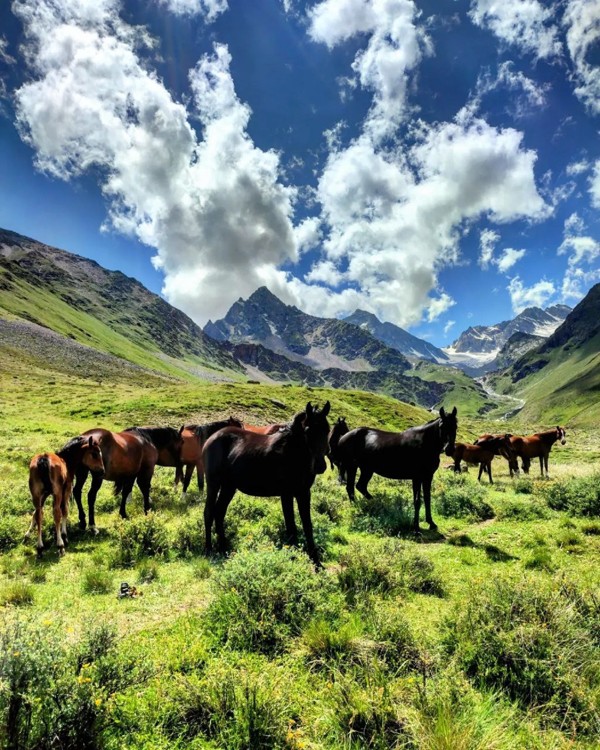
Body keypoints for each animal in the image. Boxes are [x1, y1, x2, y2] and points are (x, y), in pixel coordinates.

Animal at [204, 402, 330, 568]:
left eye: (328, 429)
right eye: (308, 430)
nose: (320, 466)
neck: (292, 452)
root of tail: (211, 438)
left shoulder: (303, 493)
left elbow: (307, 525)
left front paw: (317, 563)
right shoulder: (287, 494)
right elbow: (291, 526)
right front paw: (293, 558)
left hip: (228, 487)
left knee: (219, 513)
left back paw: (224, 549)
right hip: (213, 484)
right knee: (208, 513)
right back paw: (209, 550)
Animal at [336, 408, 458, 536]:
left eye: (455, 426)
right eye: (442, 426)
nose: (449, 449)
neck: (424, 443)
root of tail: (342, 437)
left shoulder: (427, 477)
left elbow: (427, 499)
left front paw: (431, 523)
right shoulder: (417, 478)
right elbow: (417, 501)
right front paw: (416, 528)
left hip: (365, 469)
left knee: (358, 486)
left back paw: (375, 506)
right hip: (352, 466)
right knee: (352, 488)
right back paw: (362, 507)